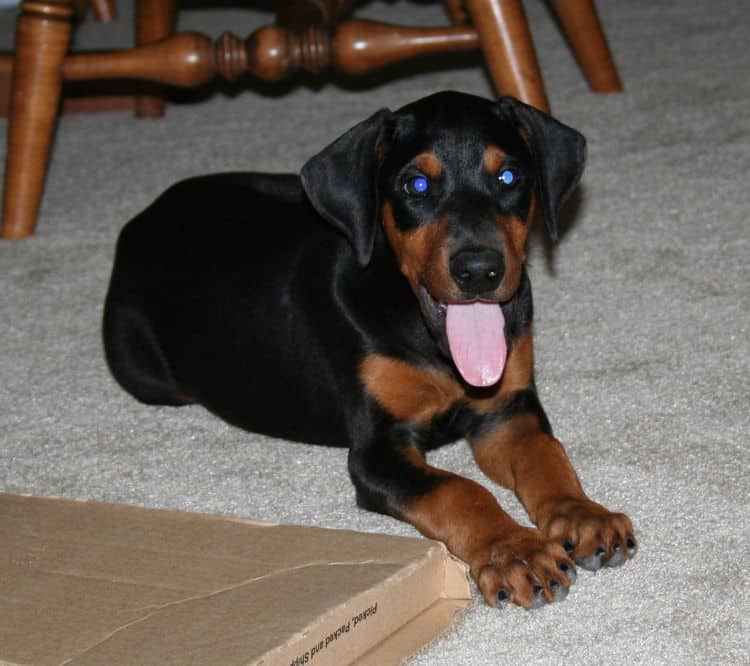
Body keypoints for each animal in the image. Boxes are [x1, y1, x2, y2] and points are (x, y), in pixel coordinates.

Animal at [104, 92, 636, 608]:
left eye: (508, 177)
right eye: (415, 186)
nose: (480, 270)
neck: (429, 337)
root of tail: (141, 222)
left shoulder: (506, 409)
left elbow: (544, 453)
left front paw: (583, 515)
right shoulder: (376, 451)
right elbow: (460, 489)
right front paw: (515, 552)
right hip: (146, 374)